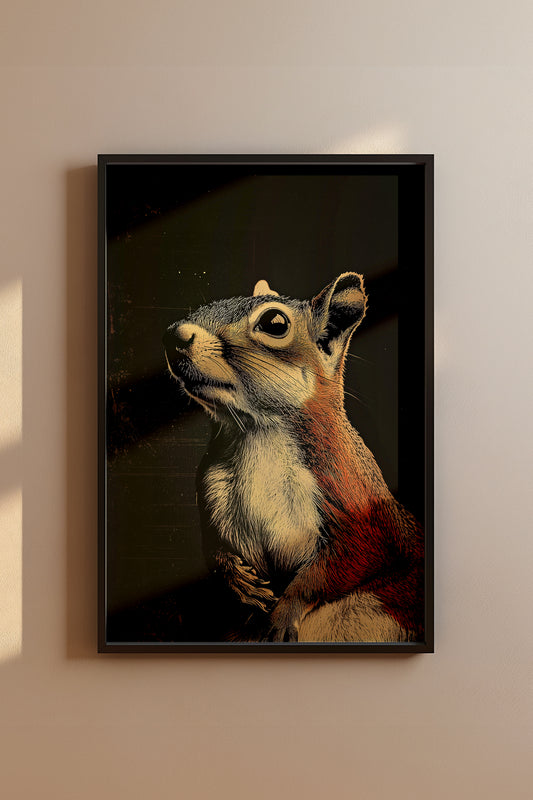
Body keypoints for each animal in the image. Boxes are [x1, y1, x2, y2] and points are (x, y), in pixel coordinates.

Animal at [163, 273, 424, 643]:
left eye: (275, 323)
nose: (174, 335)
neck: (257, 432)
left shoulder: (349, 491)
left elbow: (352, 556)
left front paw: (284, 611)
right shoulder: (209, 487)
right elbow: (214, 550)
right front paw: (238, 580)